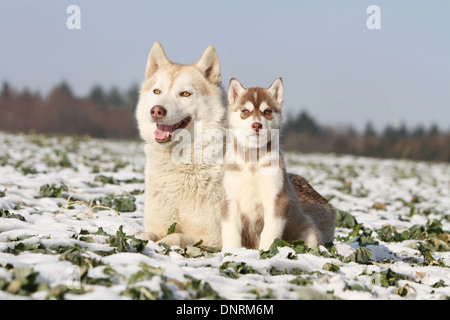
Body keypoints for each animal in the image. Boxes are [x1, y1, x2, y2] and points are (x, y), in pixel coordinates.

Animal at [134, 42, 225, 248]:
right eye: (157, 91)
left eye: (185, 94)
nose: (156, 111)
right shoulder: (158, 226)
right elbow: (147, 234)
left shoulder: (213, 238)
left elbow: (175, 237)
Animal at [221, 77, 334, 250]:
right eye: (245, 111)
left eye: (267, 111)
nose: (257, 125)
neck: (253, 160)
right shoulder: (230, 200)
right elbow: (231, 233)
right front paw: (232, 252)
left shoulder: (277, 200)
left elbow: (269, 233)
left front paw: (266, 252)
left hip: (309, 232)